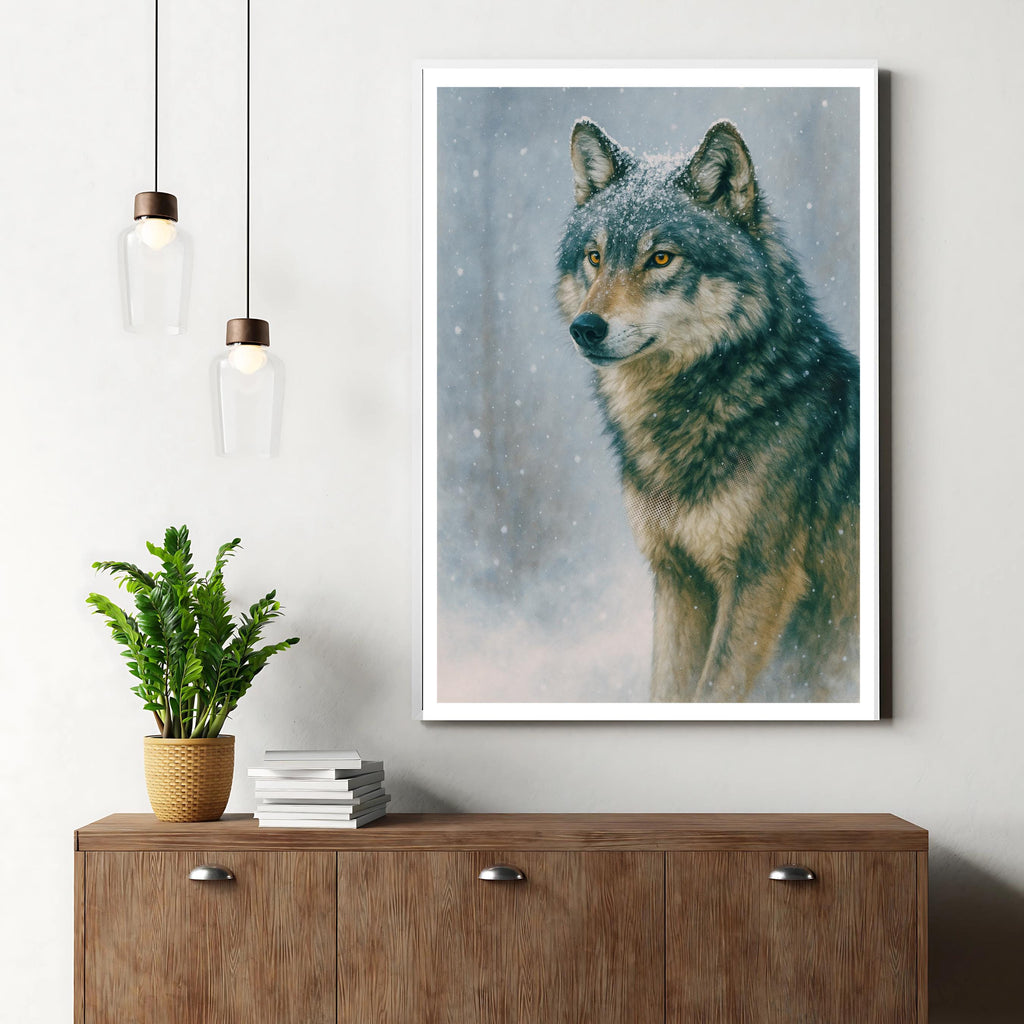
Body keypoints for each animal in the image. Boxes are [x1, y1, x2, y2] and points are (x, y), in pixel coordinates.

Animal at [556, 118, 860, 702]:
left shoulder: (760, 582)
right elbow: (668, 690)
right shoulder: (677, 579)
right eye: (595, 257)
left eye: (661, 258)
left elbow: (712, 691)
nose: (585, 328)